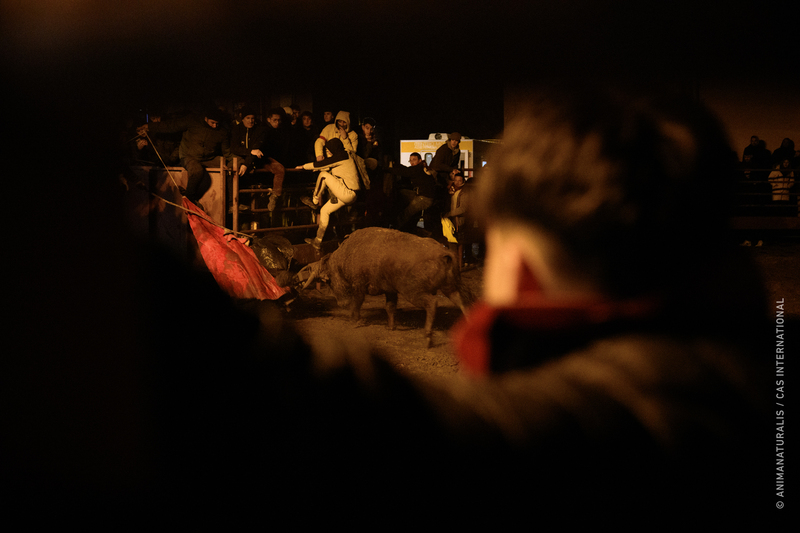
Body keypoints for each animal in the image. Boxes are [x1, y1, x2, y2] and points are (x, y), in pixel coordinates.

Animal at [296, 227, 469, 347]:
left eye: (329, 281)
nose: (341, 303)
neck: (345, 257)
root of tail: (443, 254)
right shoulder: (390, 290)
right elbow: (390, 307)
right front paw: (391, 326)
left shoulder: (359, 285)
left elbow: (357, 303)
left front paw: (355, 320)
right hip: (449, 287)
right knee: (460, 301)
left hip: (414, 292)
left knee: (432, 304)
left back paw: (428, 336)